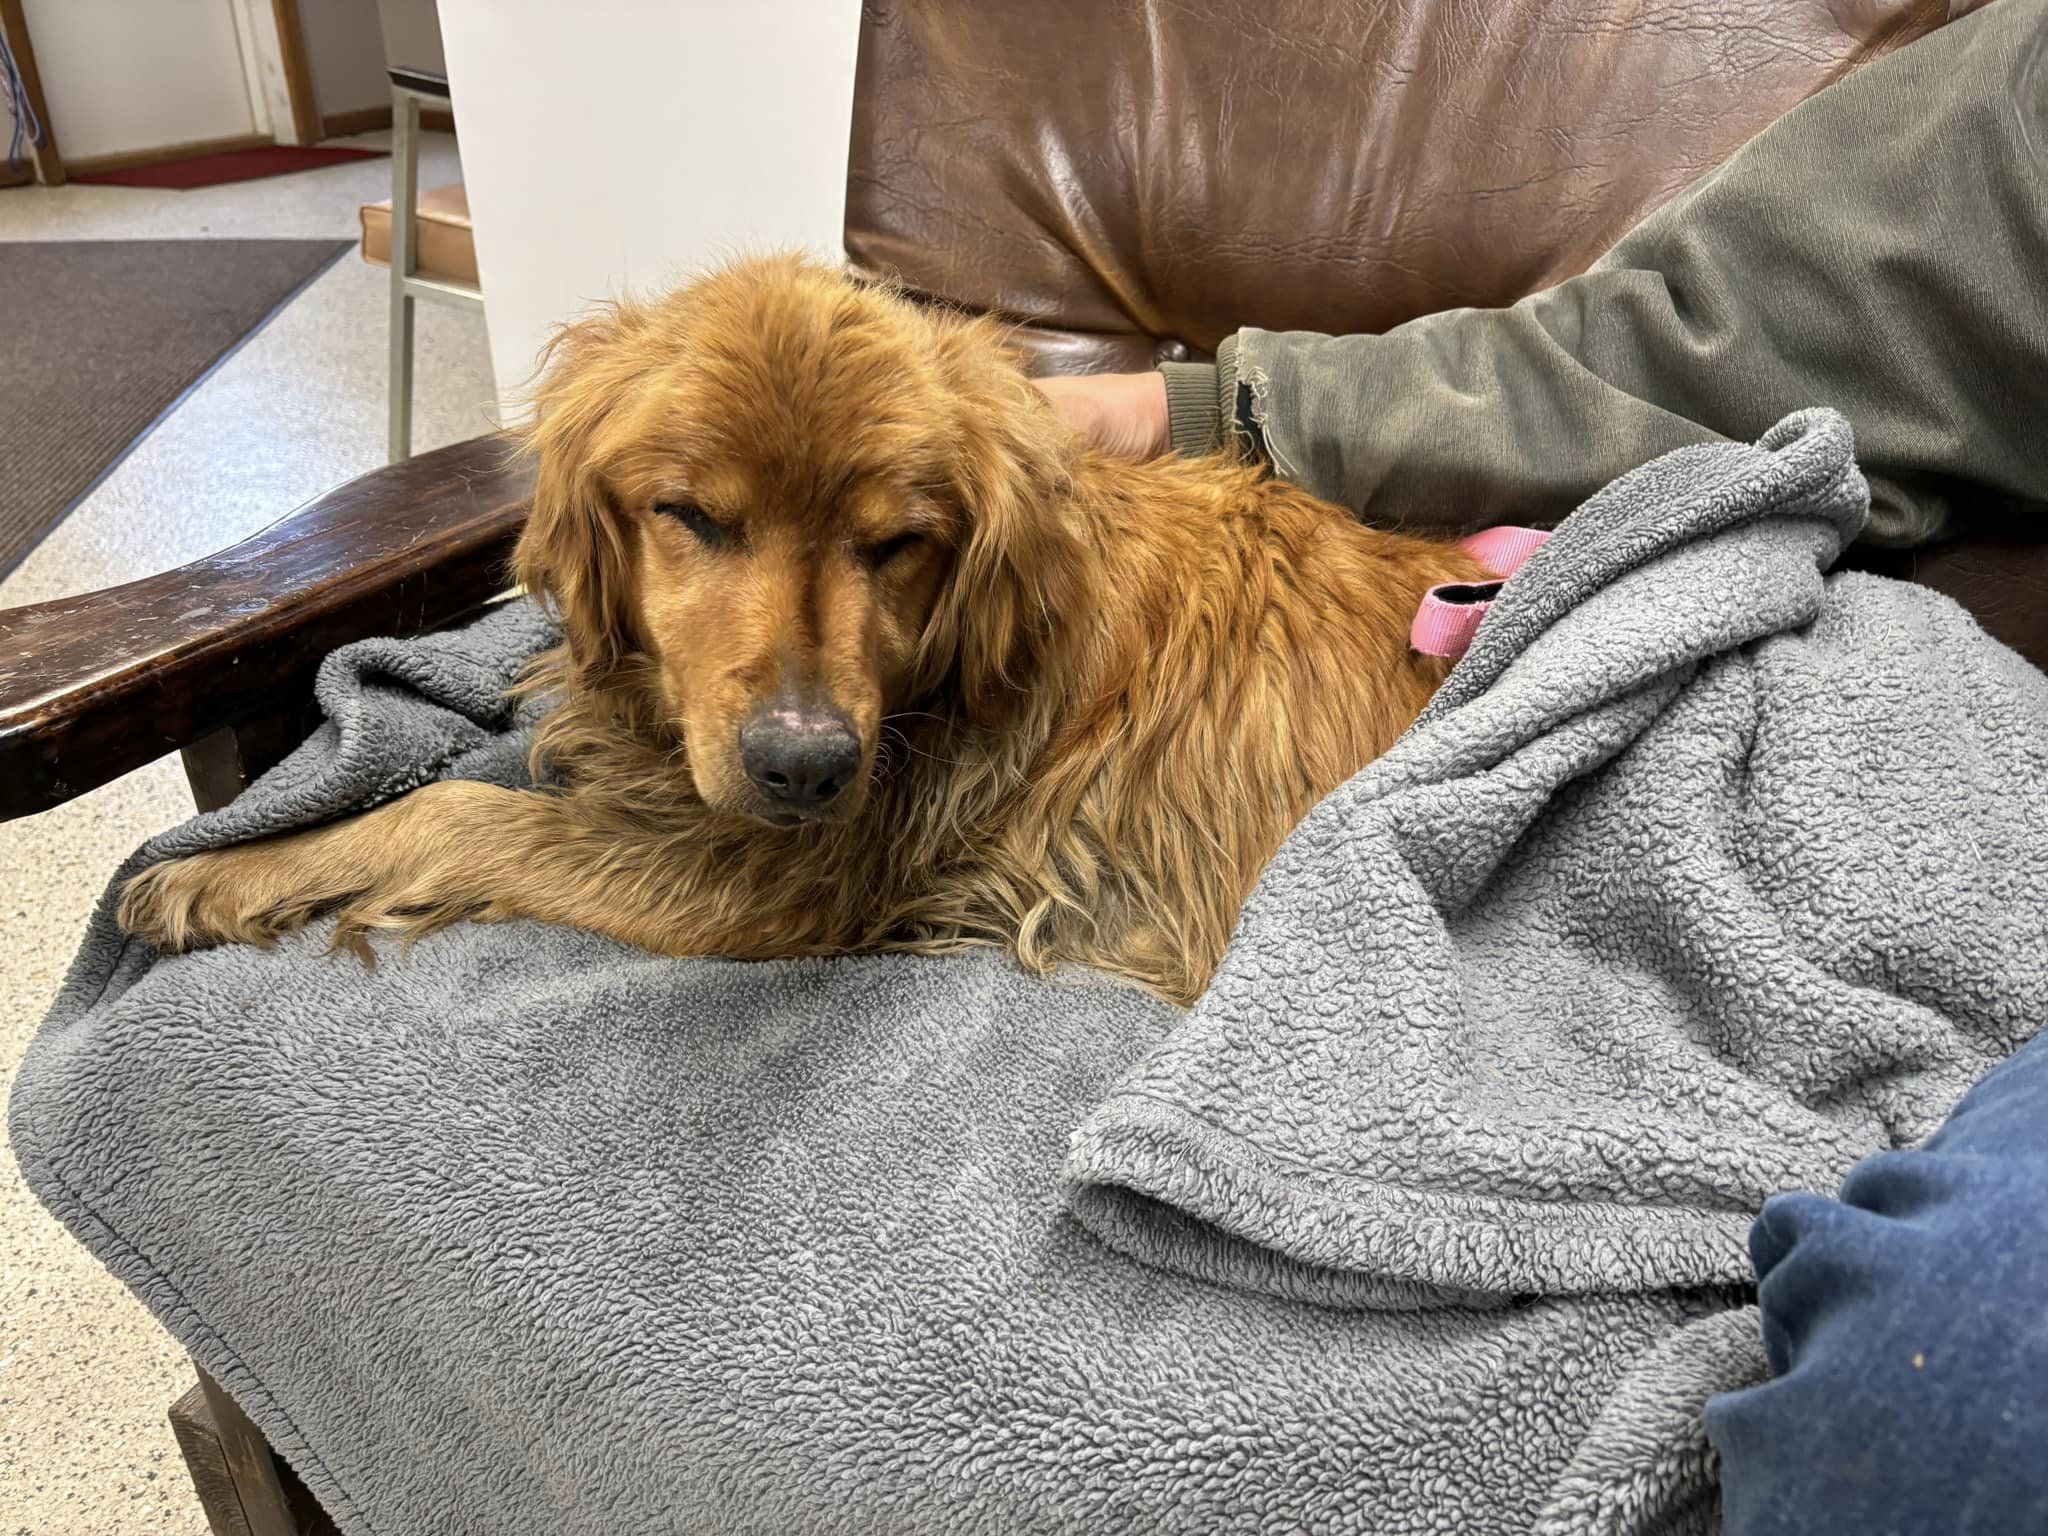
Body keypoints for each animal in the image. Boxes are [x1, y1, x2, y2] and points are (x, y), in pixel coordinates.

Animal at [119, 256, 1482, 1011]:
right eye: (691, 516)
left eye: (898, 543)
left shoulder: (765, 881)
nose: (804, 769)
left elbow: (454, 812)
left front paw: (224, 873)